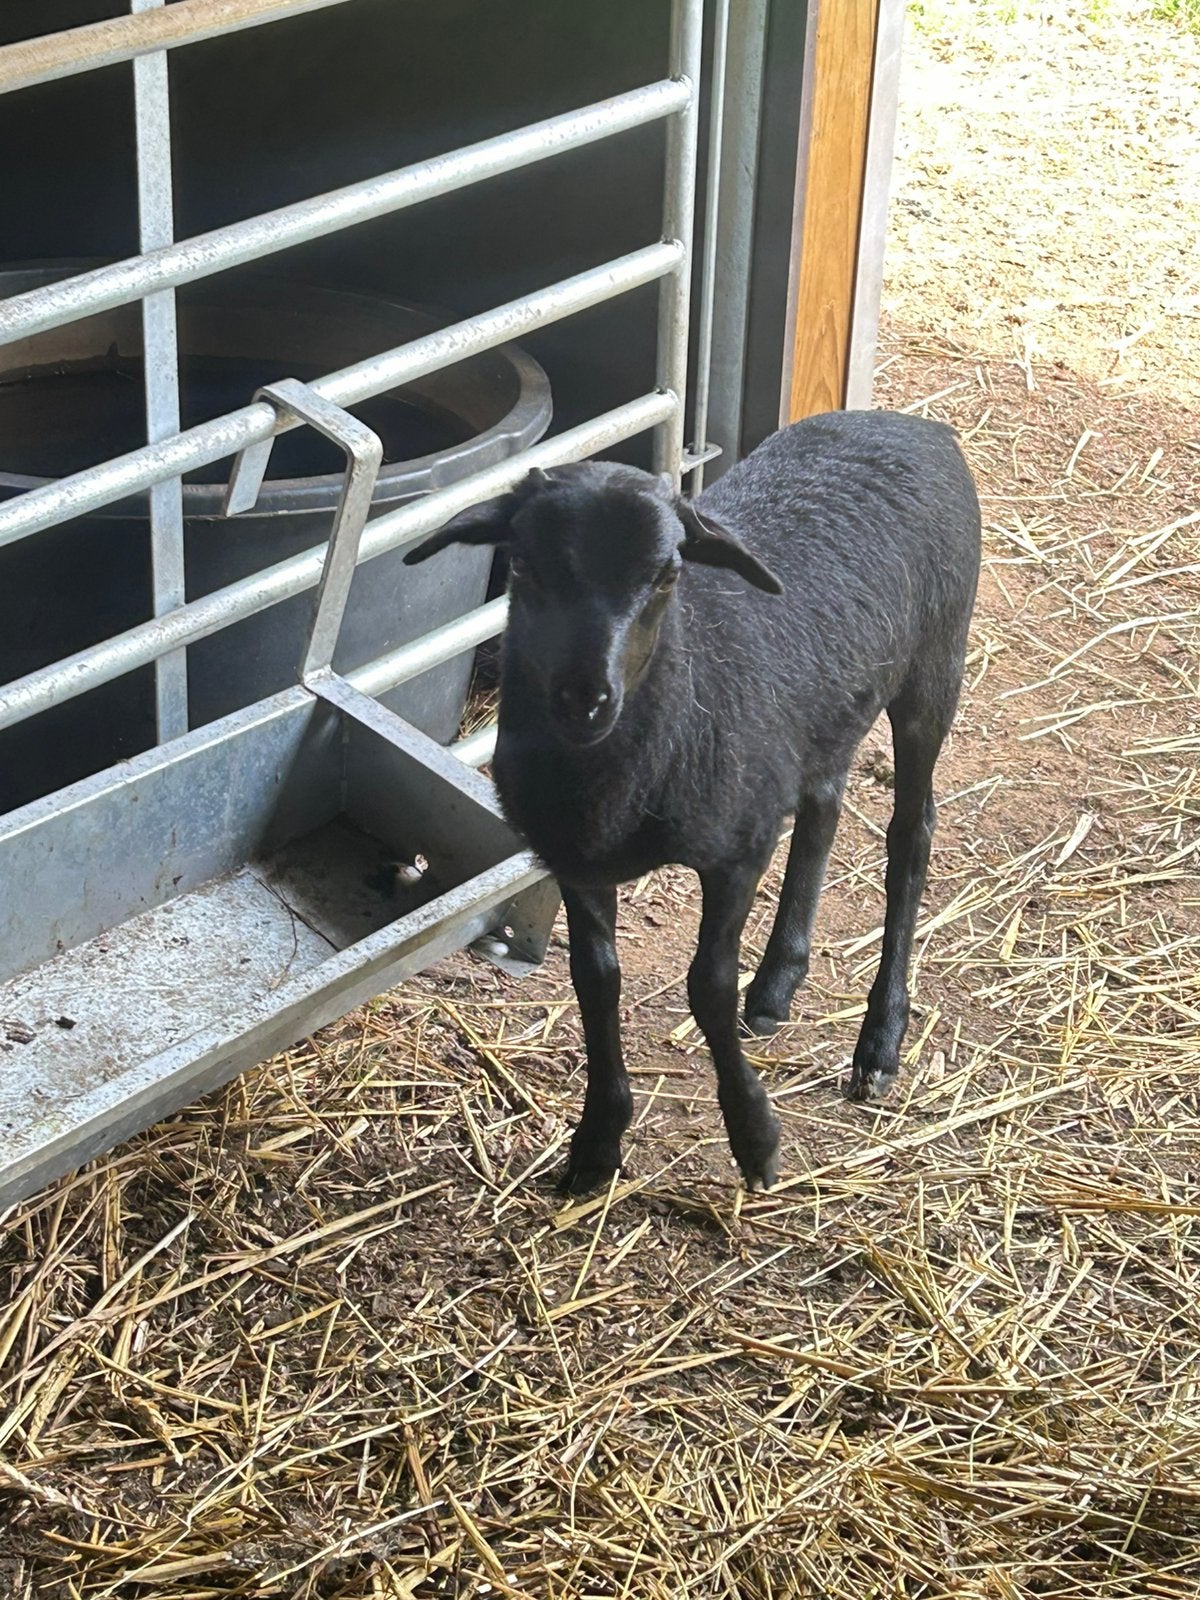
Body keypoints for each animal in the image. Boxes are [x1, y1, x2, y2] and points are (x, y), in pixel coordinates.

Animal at [404, 409, 981, 1194]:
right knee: (824, 807)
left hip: (933, 674)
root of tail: (913, 424)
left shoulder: (738, 848)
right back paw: (776, 986)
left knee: (911, 837)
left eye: (668, 575)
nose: (585, 698)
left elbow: (708, 985)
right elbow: (596, 983)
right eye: (521, 565)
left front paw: (756, 1137)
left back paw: (880, 1040)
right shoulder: (574, 861)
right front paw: (597, 1143)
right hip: (823, 717)